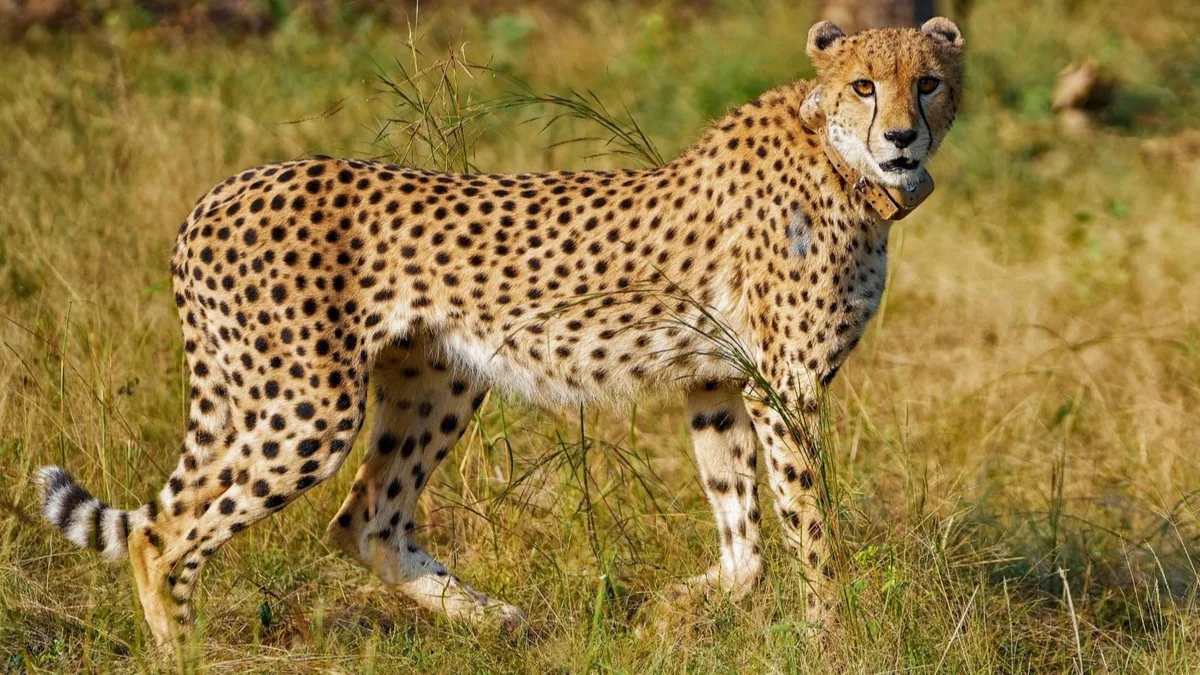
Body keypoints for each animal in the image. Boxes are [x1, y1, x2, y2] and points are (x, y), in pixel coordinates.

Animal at [38, 17, 964, 651]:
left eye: (927, 83)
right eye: (864, 86)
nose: (901, 135)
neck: (842, 163)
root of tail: (221, 190)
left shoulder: (718, 381)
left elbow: (746, 541)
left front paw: (673, 609)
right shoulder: (785, 387)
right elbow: (810, 526)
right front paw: (832, 637)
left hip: (437, 379)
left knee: (364, 518)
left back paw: (493, 617)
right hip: (307, 406)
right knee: (165, 533)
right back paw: (183, 650)